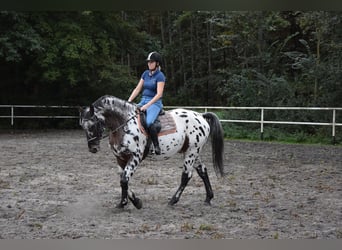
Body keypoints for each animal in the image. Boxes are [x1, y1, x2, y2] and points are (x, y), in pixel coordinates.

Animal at [79, 95, 226, 209]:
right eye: (82, 126)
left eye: (93, 125)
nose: (93, 148)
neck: (124, 124)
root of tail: (201, 116)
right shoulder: (120, 158)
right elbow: (123, 179)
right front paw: (132, 202)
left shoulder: (135, 157)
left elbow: (124, 179)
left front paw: (128, 203)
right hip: (192, 152)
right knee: (202, 171)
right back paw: (208, 198)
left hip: (192, 152)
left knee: (186, 175)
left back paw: (173, 200)